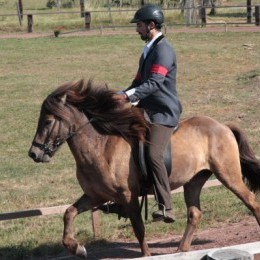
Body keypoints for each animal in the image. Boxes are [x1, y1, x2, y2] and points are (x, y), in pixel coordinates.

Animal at [27, 78, 260, 256]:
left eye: (48, 122)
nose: (34, 153)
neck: (100, 147)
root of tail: (223, 126)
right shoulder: (95, 196)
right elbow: (69, 213)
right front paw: (76, 248)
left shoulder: (128, 196)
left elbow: (138, 229)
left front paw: (146, 255)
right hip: (194, 180)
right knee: (194, 213)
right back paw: (180, 251)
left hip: (228, 174)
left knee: (251, 201)